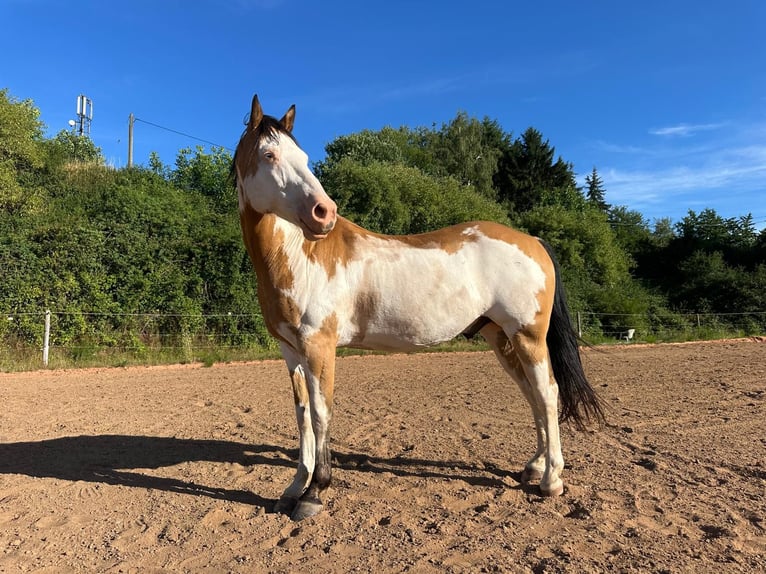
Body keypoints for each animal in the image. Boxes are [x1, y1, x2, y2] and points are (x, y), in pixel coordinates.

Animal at [232, 95, 605, 521]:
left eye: (304, 157)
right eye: (270, 154)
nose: (323, 213)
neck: (300, 256)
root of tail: (533, 240)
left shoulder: (319, 347)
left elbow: (323, 413)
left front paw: (314, 493)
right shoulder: (291, 352)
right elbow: (303, 417)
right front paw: (294, 488)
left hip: (528, 336)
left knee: (547, 393)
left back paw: (551, 481)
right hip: (501, 338)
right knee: (532, 395)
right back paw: (534, 467)